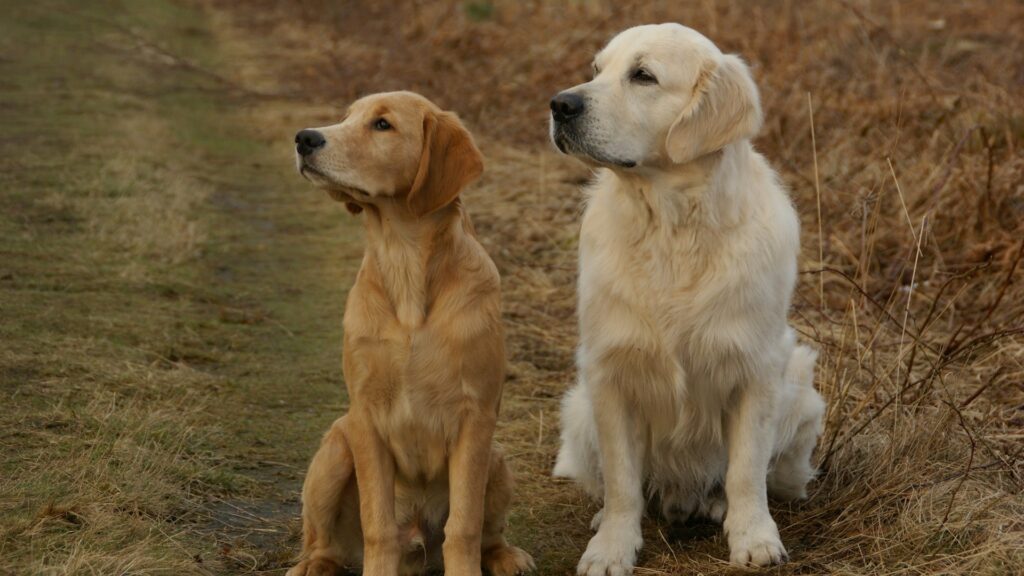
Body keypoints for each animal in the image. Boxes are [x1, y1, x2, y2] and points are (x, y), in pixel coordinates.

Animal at [284, 91, 532, 569]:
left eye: (382, 124)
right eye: (346, 117)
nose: (304, 138)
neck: (404, 261)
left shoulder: (475, 416)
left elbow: (464, 527)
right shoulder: (365, 416)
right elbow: (377, 525)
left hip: (496, 459)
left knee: (487, 534)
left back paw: (506, 556)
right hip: (335, 450)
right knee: (324, 541)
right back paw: (313, 565)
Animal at [552, 23, 823, 573]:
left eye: (643, 75)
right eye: (597, 70)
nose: (559, 104)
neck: (672, 227)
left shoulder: (757, 370)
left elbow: (745, 470)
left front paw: (753, 537)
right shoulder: (610, 371)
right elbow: (622, 482)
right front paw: (612, 546)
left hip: (802, 393)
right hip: (579, 409)